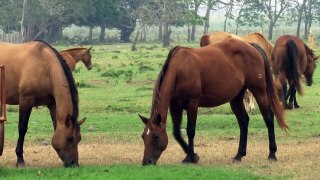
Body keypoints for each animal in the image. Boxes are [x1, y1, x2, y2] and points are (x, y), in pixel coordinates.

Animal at [138, 38, 288, 165]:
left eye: (156, 136)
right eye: (143, 137)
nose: (147, 162)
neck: (179, 70)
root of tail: (251, 46)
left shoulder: (193, 103)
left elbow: (190, 130)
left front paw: (192, 157)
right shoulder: (175, 106)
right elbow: (177, 133)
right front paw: (190, 156)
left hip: (259, 91)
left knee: (268, 118)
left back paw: (272, 154)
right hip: (236, 98)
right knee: (243, 121)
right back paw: (239, 155)